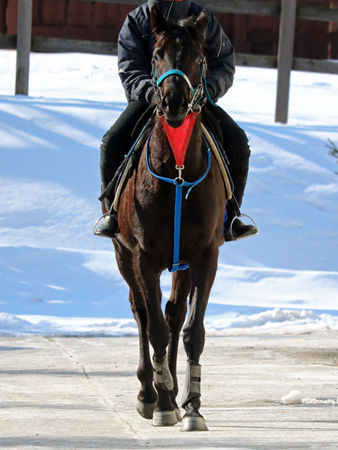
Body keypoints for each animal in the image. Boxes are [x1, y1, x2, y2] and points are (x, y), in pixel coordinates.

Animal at [112, 5, 226, 430]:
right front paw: (161, 402)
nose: (173, 100)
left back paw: (175, 392)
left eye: (198, 56)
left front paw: (192, 406)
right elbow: (155, 329)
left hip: (182, 265)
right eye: (157, 54)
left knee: (174, 314)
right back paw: (151, 392)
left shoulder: (205, 256)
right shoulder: (142, 257)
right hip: (123, 256)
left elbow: (192, 330)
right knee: (144, 315)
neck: (176, 168)